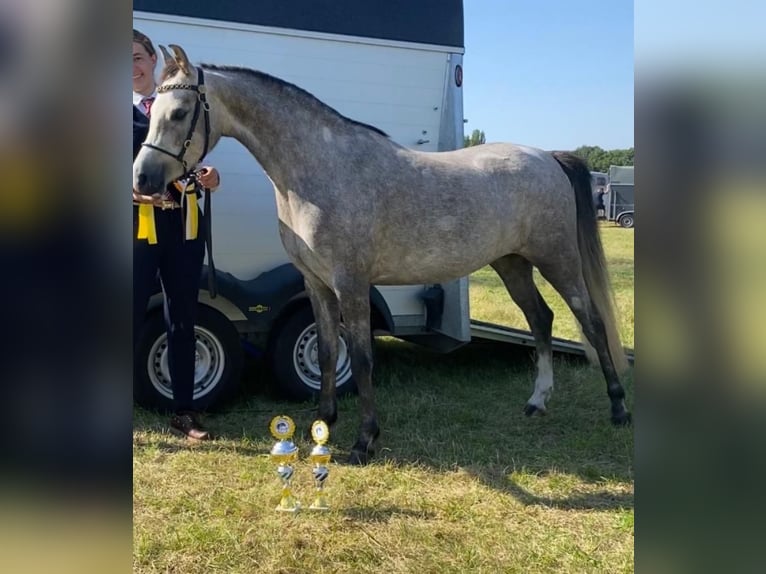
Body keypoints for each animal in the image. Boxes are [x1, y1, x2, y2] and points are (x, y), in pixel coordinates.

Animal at [135, 46, 632, 468]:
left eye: (179, 112)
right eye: (152, 111)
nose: (143, 179)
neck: (320, 169)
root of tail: (548, 156)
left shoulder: (351, 282)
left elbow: (360, 357)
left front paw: (364, 441)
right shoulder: (316, 283)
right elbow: (328, 352)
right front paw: (324, 424)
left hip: (558, 259)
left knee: (590, 321)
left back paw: (618, 408)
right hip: (512, 263)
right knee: (541, 319)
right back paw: (536, 402)